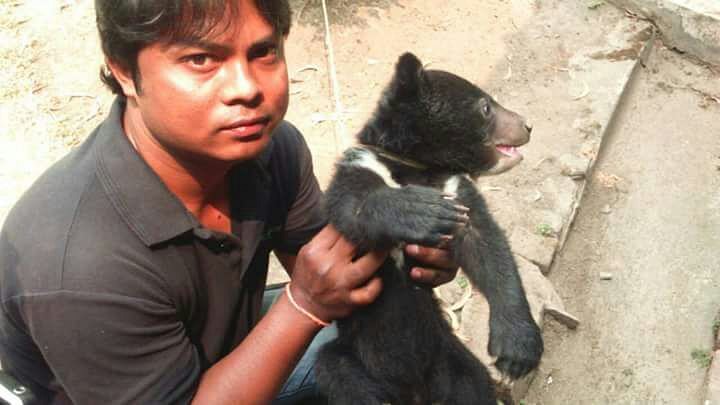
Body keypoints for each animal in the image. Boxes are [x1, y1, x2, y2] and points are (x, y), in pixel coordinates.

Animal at [314, 52, 543, 405]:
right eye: (486, 107)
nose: (527, 125)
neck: (417, 167)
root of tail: (415, 393)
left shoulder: (455, 187)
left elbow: (486, 244)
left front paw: (517, 350)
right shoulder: (360, 166)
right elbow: (352, 205)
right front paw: (425, 211)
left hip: (450, 356)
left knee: (474, 385)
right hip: (352, 358)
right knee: (340, 376)